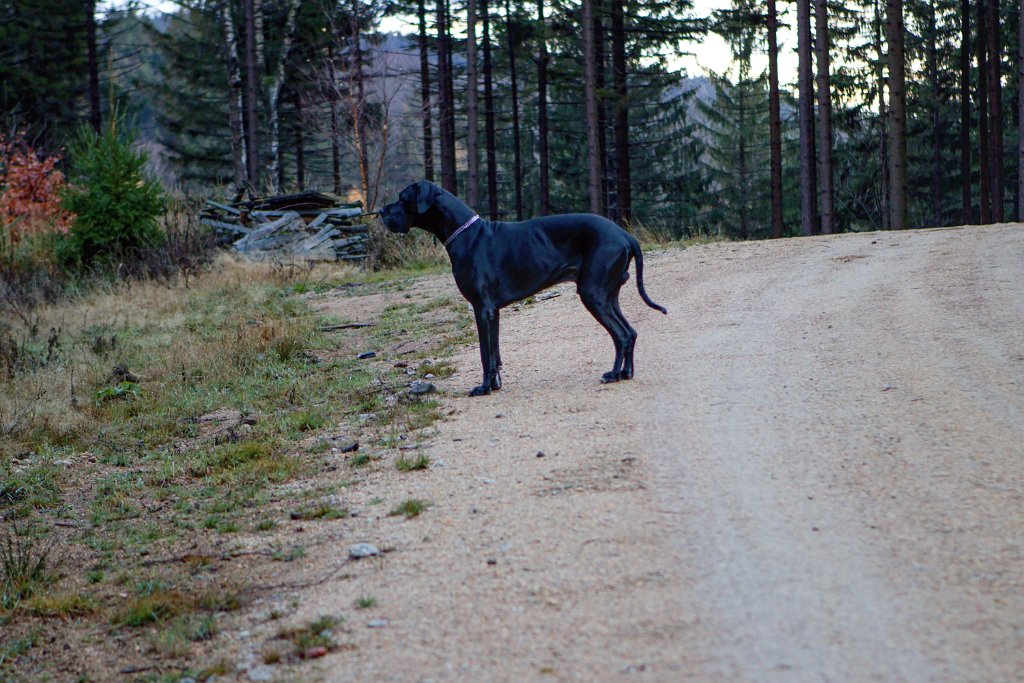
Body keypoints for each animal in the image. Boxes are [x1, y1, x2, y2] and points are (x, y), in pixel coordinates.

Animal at [380, 181, 667, 395]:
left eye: (402, 198)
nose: (382, 212)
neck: (465, 234)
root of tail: (625, 234)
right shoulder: (492, 311)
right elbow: (495, 352)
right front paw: (495, 384)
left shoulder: (481, 309)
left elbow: (484, 354)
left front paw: (483, 388)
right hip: (608, 295)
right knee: (629, 333)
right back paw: (626, 373)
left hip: (592, 293)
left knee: (621, 335)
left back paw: (614, 374)